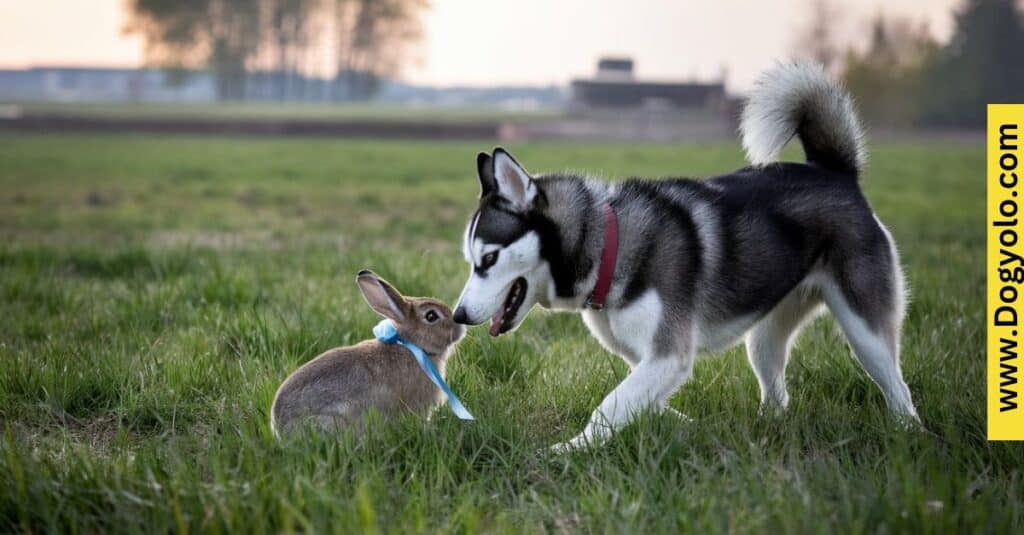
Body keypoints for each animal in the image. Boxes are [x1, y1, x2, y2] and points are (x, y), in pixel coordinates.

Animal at [452, 62, 917, 448]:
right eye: (470, 262)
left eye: (488, 260)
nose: (457, 315)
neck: (609, 246)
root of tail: (835, 174)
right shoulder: (651, 361)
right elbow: (645, 405)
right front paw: (690, 429)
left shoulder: (668, 354)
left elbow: (610, 406)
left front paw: (565, 451)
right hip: (763, 338)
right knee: (777, 394)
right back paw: (764, 429)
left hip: (864, 330)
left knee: (899, 389)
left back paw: (908, 432)